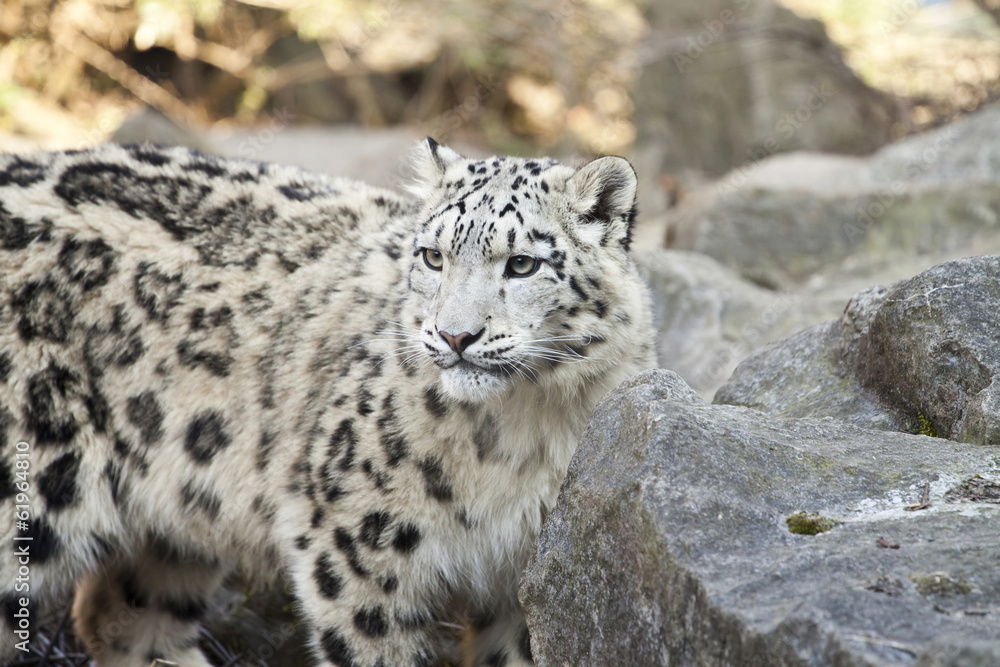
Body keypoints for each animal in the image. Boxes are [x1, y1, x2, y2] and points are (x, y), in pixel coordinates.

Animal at [0, 138, 655, 667]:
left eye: (522, 264)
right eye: (433, 256)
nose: (455, 336)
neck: (515, 434)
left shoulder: (523, 576)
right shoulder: (358, 544)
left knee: (122, 615)